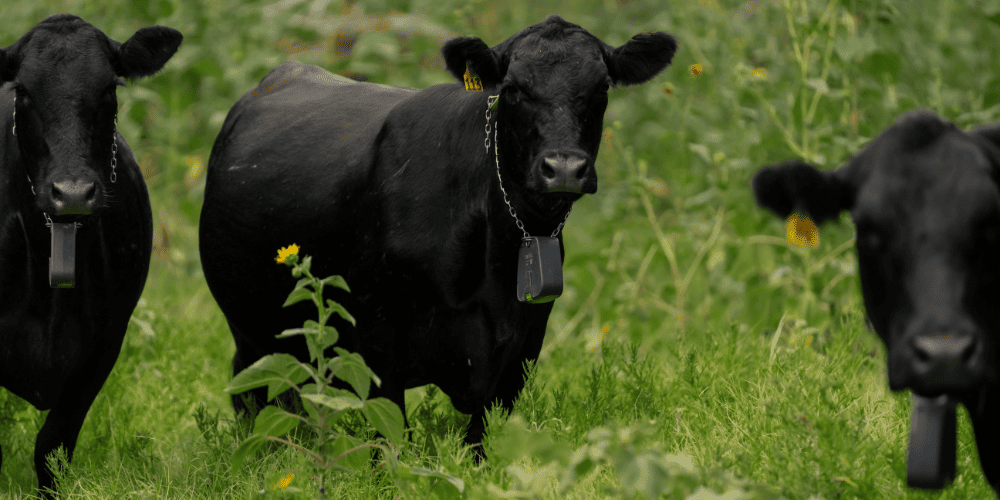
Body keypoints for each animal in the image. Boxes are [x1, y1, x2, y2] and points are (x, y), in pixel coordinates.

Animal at [200, 15, 676, 456]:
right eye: (513, 89)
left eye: (601, 89)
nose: (563, 168)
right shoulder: (376, 337)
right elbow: (391, 439)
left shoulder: (520, 348)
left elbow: (480, 442)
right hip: (252, 331)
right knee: (257, 396)